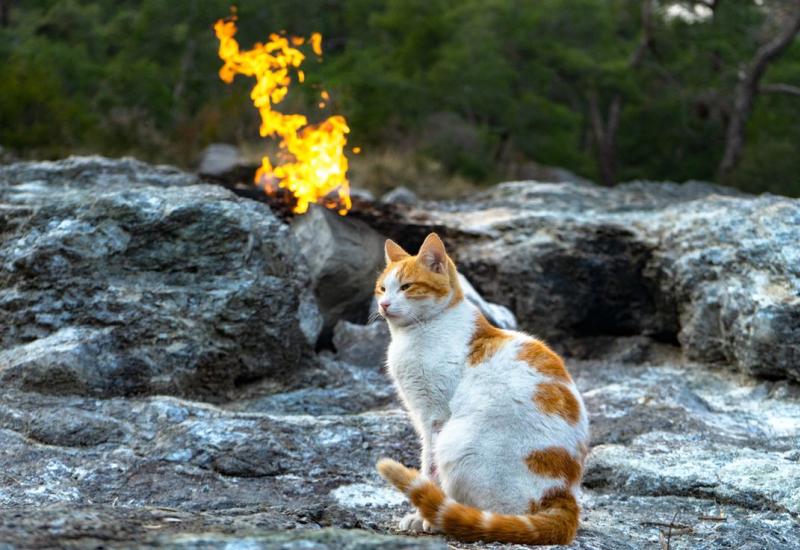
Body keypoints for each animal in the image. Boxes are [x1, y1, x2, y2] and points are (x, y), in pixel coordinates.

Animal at [374, 234, 588, 548]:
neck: (418, 333)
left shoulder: (435, 416)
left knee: (491, 515)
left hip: (456, 442)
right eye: (381, 288)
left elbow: (429, 468)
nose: (384, 304)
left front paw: (423, 515)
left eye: (406, 287)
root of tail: (563, 496)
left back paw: (445, 517)